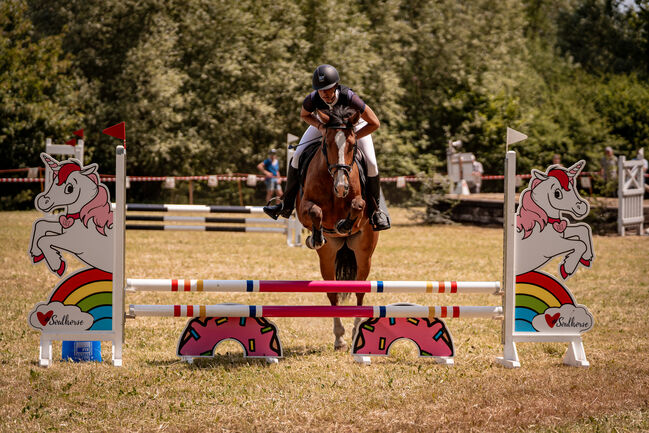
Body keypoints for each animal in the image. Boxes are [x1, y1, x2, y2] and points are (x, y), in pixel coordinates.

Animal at [294, 105, 380, 352]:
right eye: (328, 144)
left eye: (352, 145)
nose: (341, 187)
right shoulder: (304, 207)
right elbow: (316, 212)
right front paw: (315, 237)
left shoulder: (361, 207)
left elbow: (357, 205)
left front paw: (344, 224)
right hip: (328, 257)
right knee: (332, 292)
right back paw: (339, 337)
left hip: (364, 254)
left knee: (360, 289)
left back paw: (355, 332)